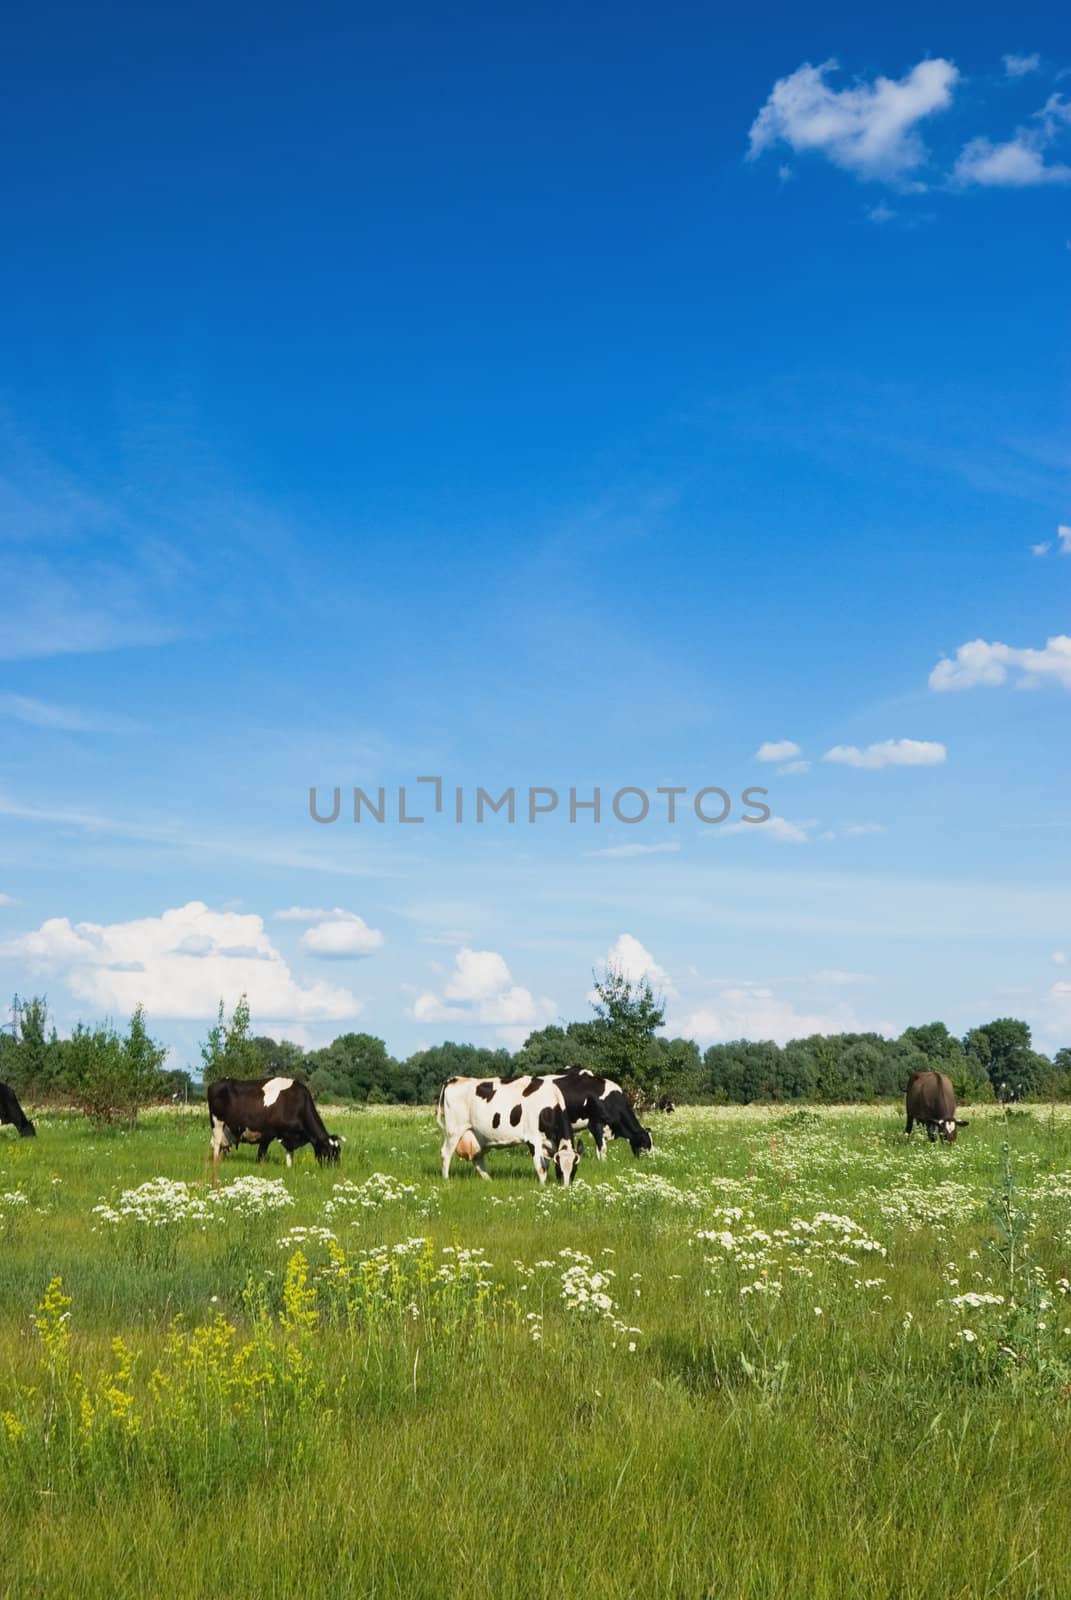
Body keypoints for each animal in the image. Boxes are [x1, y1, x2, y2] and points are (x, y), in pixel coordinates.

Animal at [206, 1075, 340, 1177]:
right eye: (327, 1152)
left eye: (338, 1152)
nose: (334, 1171)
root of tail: (216, 1083)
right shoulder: (267, 1133)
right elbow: (261, 1155)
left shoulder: (289, 1136)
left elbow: (289, 1155)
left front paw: (289, 1169)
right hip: (217, 1123)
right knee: (216, 1144)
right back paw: (215, 1163)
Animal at [435, 1075, 579, 1190]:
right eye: (560, 1169)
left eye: (574, 1170)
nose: (566, 1188)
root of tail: (455, 1079)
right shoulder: (533, 1139)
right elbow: (541, 1167)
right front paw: (543, 1187)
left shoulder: (548, 1145)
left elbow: (546, 1165)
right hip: (453, 1131)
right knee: (445, 1154)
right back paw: (446, 1180)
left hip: (478, 1136)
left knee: (477, 1159)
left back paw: (489, 1181)